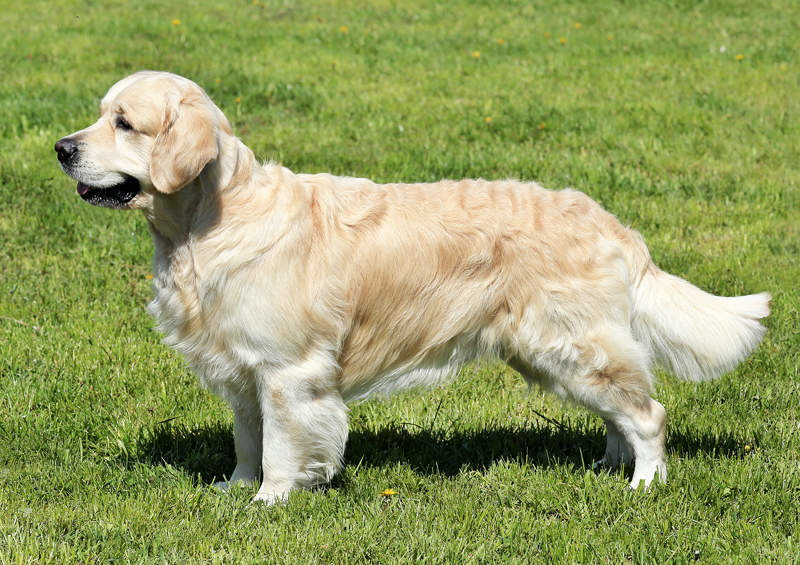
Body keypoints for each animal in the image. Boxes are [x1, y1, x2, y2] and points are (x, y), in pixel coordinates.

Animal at [54, 71, 768, 502]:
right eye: (99, 115)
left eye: (125, 122)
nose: (61, 148)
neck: (206, 224)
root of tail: (610, 220)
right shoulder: (242, 370)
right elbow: (247, 438)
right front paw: (235, 488)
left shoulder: (288, 371)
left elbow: (283, 445)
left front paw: (269, 501)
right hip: (555, 353)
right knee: (621, 412)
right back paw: (608, 466)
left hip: (570, 344)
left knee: (649, 413)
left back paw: (643, 485)